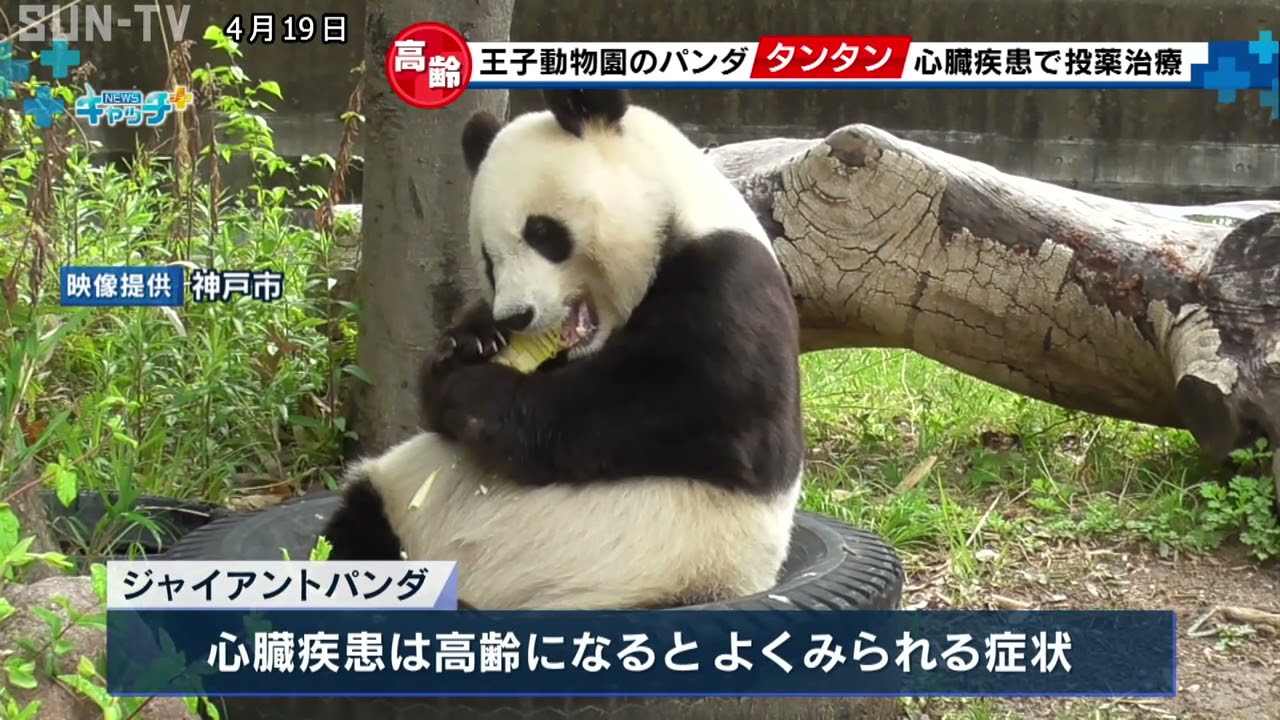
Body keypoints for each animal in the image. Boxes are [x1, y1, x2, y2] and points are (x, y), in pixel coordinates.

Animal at [317, 87, 798, 607]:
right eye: (488, 259)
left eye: (543, 232)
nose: (516, 315)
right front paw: (469, 344)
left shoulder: (730, 285)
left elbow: (692, 412)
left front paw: (475, 391)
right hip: (398, 502)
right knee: (359, 521)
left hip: (667, 576)